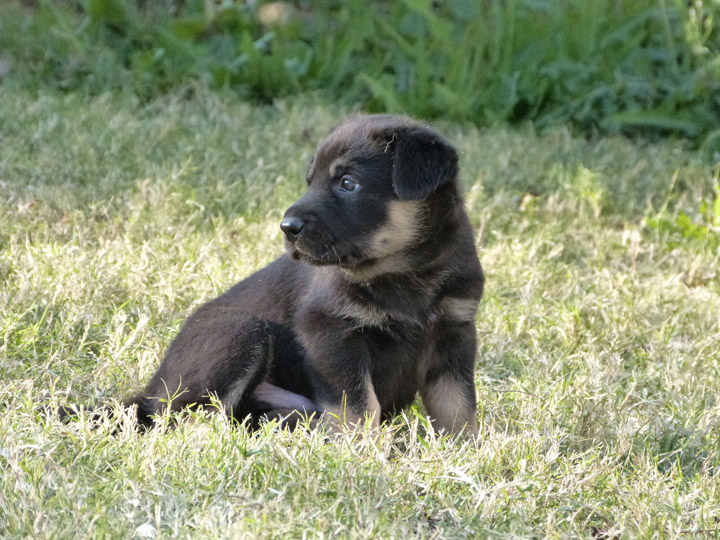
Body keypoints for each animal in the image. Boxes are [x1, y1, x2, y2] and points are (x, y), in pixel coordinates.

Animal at [116, 115, 484, 438]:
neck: (406, 271)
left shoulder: (455, 334)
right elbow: (358, 404)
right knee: (188, 417)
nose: (287, 227)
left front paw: (463, 446)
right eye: (311, 182)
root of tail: (151, 390)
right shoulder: (328, 329)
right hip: (241, 331)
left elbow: (457, 404)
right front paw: (359, 448)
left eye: (348, 183)